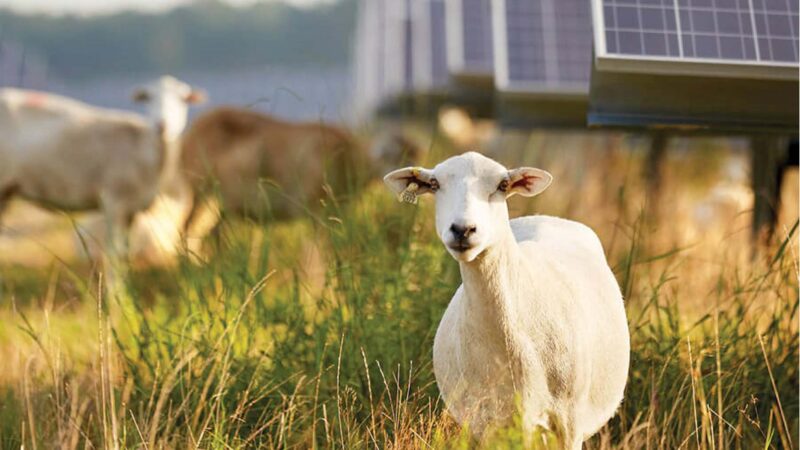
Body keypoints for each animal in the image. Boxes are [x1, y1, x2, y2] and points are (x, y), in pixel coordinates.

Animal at [384, 152, 630, 448]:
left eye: (502, 185)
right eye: (434, 184)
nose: (463, 229)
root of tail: (546, 217)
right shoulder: (484, 422)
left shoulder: (569, 421)